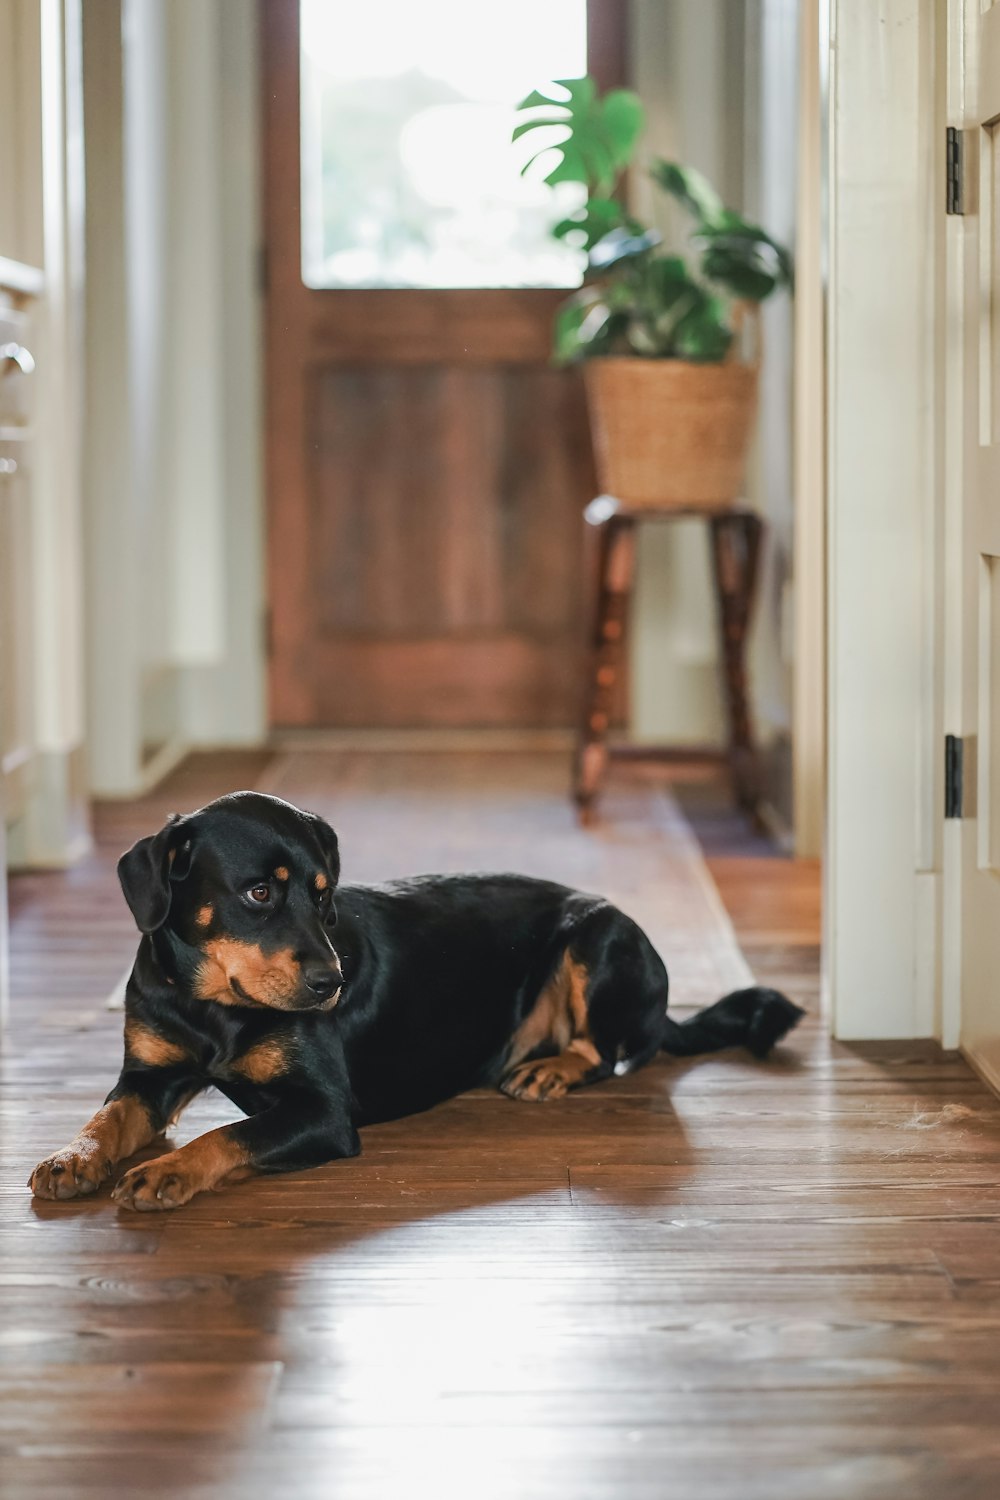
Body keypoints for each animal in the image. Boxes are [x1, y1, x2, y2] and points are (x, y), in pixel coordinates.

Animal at [27, 792, 803, 1212]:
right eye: (259, 892)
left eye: (322, 894)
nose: (331, 983)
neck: (212, 1004)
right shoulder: (149, 1074)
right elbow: (107, 1118)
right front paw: (71, 1159)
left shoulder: (323, 1113)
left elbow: (227, 1135)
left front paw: (166, 1172)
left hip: (602, 933)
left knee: (615, 1049)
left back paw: (549, 1069)